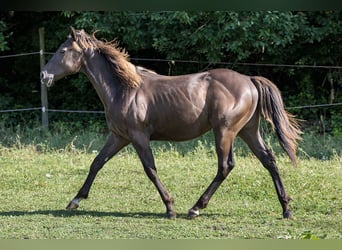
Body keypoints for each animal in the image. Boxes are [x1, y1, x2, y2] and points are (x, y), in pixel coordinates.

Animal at [40, 27, 302, 219]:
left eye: (63, 51)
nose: (44, 75)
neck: (124, 90)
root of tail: (249, 80)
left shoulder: (138, 136)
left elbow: (150, 169)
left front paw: (170, 207)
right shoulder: (119, 136)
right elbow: (96, 163)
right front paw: (75, 200)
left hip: (225, 131)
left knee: (226, 165)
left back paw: (195, 208)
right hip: (248, 130)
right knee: (269, 160)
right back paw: (286, 209)